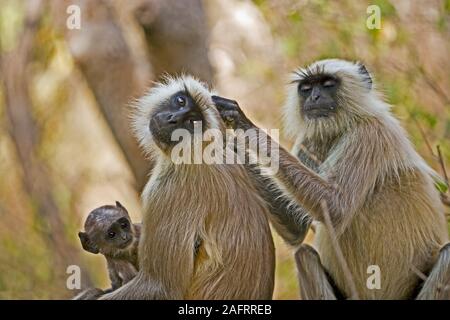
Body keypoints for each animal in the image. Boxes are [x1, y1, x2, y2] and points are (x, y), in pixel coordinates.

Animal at [212, 58, 450, 300]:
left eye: (327, 84)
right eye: (307, 88)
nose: (314, 98)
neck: (341, 127)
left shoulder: (370, 132)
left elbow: (336, 207)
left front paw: (242, 122)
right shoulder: (310, 141)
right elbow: (296, 230)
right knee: (304, 254)